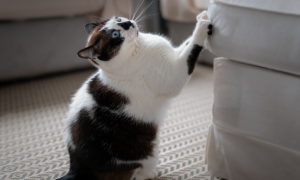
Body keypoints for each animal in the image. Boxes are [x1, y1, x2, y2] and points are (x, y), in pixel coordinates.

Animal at [58, 10, 213, 179]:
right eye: (115, 35)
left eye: (118, 19)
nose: (127, 23)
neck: (139, 46)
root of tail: (75, 168)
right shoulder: (174, 76)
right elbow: (192, 48)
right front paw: (202, 28)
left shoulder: (174, 54)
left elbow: (186, 44)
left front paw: (202, 17)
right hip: (146, 154)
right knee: (138, 174)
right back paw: (151, 173)